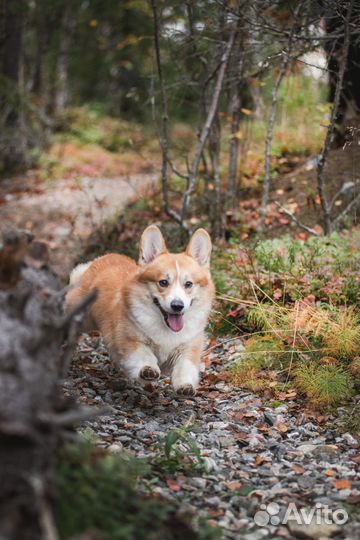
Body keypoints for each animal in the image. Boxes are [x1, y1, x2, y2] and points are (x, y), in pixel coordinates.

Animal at [65, 226, 214, 394]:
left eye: (188, 284)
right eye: (163, 282)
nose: (177, 305)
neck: (166, 329)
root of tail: (101, 258)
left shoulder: (188, 348)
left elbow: (185, 367)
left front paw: (185, 386)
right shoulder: (131, 340)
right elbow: (143, 354)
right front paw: (148, 369)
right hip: (82, 317)